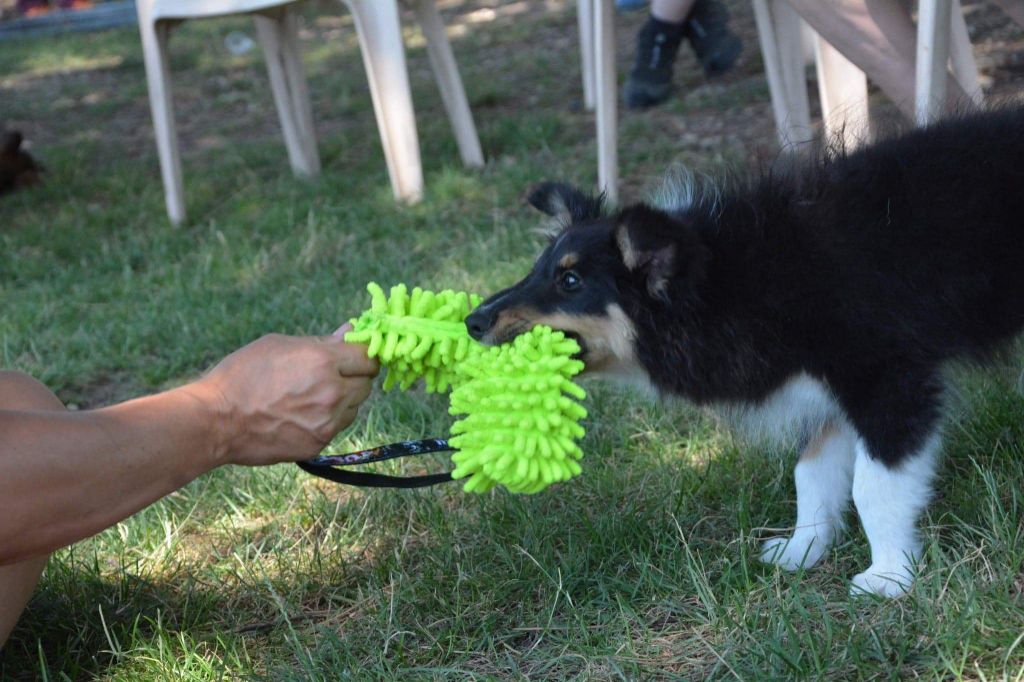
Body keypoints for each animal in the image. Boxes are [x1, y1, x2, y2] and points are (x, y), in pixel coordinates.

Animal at [466, 104, 1024, 593]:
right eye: (538, 270)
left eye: (571, 281)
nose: (472, 321)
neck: (731, 284)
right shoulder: (824, 393)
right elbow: (811, 474)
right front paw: (802, 551)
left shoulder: (886, 379)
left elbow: (873, 487)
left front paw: (888, 578)